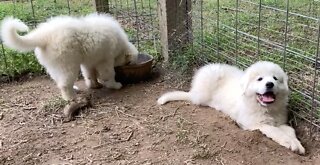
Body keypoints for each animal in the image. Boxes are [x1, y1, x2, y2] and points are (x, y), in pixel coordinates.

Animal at [1, 13, 139, 100]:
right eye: (127, 63)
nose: (125, 65)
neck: (119, 43)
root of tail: (44, 35)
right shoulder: (105, 61)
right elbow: (108, 74)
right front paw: (114, 85)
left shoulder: (90, 61)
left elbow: (90, 74)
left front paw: (94, 85)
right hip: (67, 65)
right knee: (64, 84)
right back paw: (71, 98)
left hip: (55, 66)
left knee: (59, 81)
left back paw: (74, 89)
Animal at [158, 61, 304, 154]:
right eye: (260, 79)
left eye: (275, 78)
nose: (269, 84)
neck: (266, 108)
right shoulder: (254, 124)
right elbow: (275, 131)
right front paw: (291, 143)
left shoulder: (280, 121)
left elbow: (290, 130)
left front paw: (298, 144)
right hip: (208, 82)